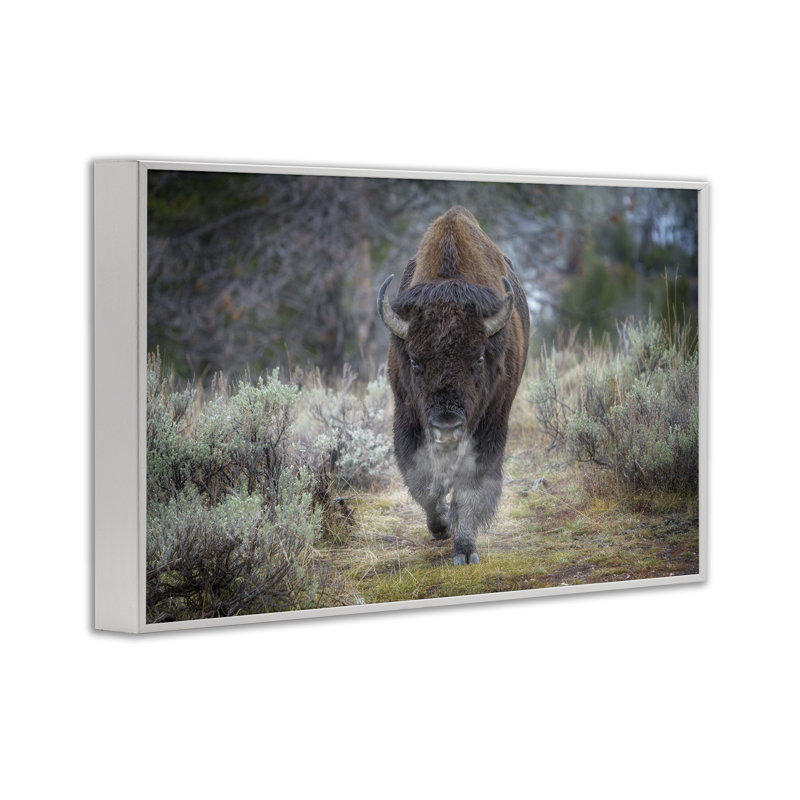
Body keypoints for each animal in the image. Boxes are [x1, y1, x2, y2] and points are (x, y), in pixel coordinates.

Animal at [378, 206, 529, 565]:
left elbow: (471, 487)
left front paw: (465, 549)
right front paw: (440, 527)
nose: (446, 427)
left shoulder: (491, 423)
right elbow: (423, 483)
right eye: (415, 360)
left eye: (478, 357)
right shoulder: (407, 416)